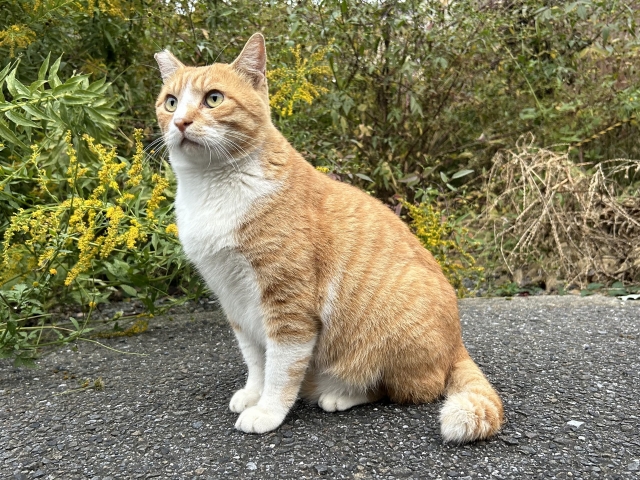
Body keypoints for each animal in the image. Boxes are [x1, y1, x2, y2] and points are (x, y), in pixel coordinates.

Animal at [152, 32, 502, 442]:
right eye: (170, 102)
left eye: (213, 98)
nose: (181, 121)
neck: (212, 187)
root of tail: (457, 343)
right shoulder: (233, 299)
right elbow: (255, 359)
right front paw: (253, 393)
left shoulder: (289, 303)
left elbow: (280, 367)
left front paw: (267, 411)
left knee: (402, 389)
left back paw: (339, 394)